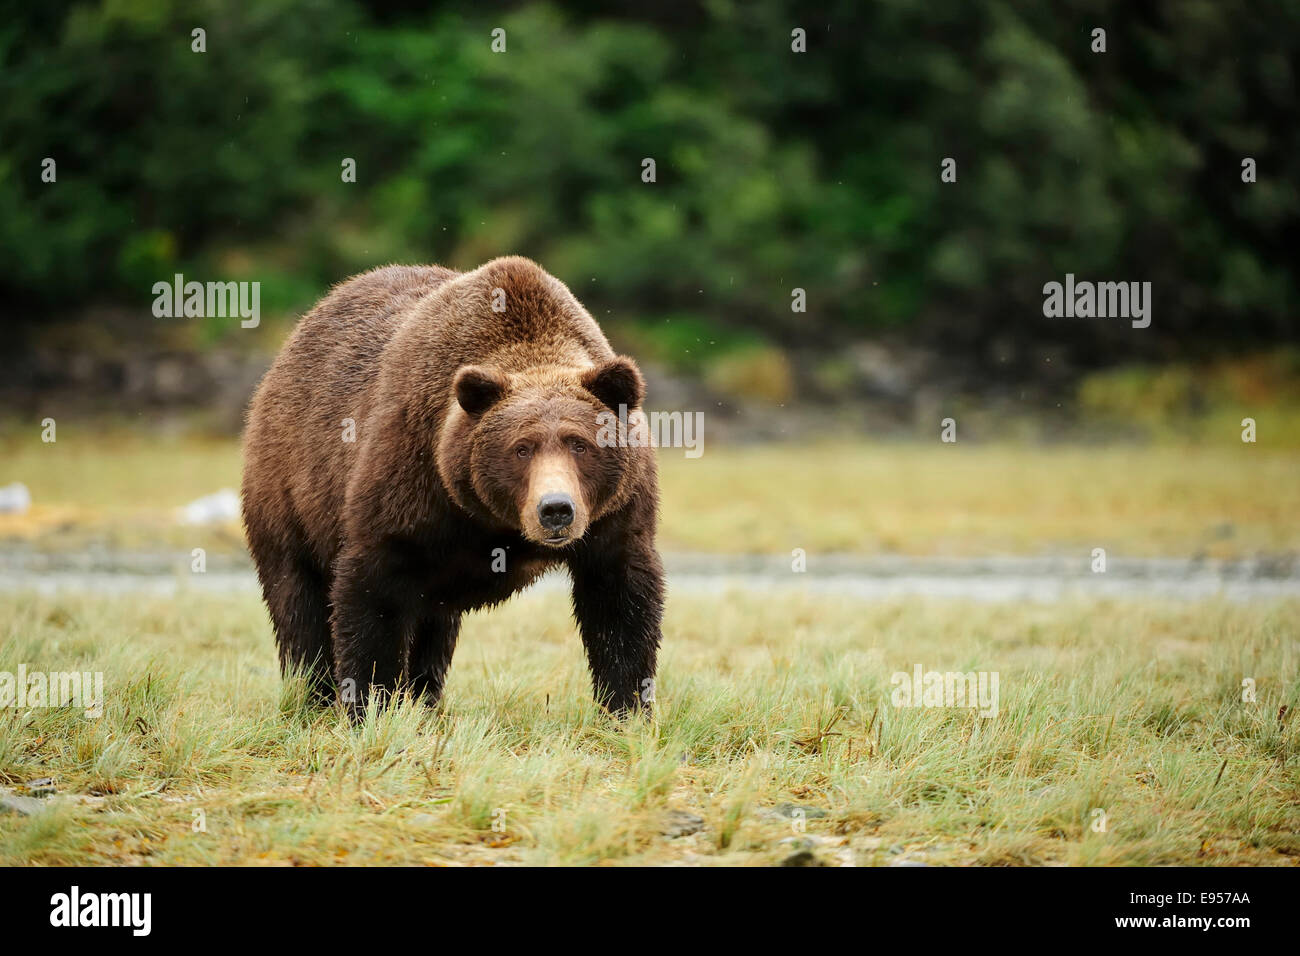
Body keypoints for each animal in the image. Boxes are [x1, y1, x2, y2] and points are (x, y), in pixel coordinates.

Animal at [244, 257, 665, 712]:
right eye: (522, 448)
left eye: (579, 443)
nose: (556, 509)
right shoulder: (410, 481)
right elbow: (371, 593)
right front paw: (368, 703)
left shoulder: (616, 511)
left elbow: (620, 604)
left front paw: (627, 707)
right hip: (288, 488)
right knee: (297, 599)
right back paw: (313, 696)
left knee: (435, 628)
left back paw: (424, 699)